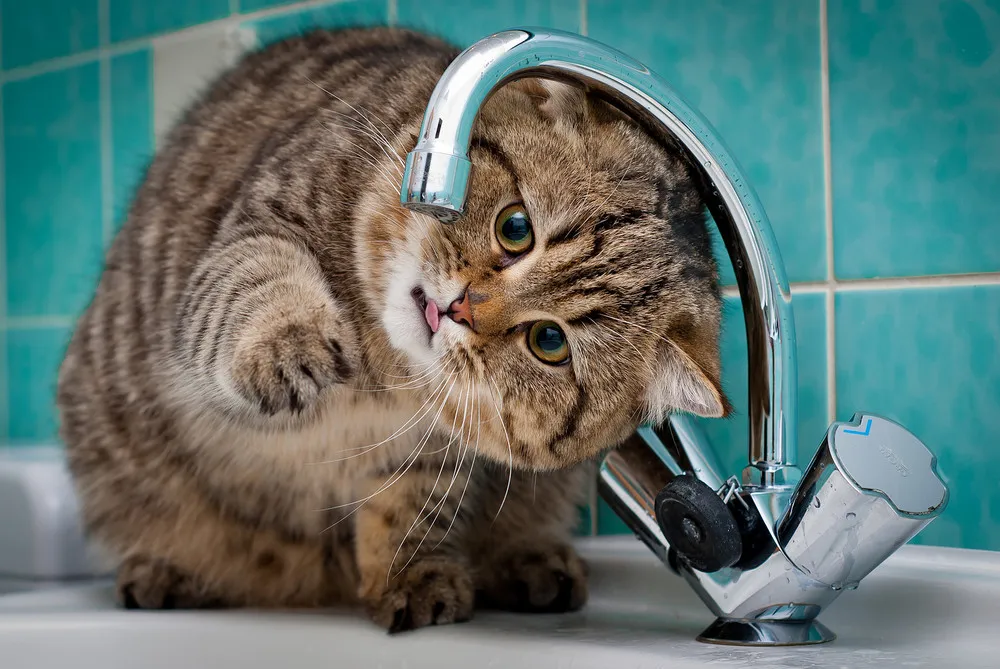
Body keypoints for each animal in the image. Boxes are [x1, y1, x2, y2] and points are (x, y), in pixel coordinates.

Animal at [56, 27, 728, 632]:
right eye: (516, 228)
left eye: (550, 343)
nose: (459, 309)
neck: (382, 369)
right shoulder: (263, 225)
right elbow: (258, 283)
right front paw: (291, 345)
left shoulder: (430, 459)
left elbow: (407, 519)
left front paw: (411, 581)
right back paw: (167, 571)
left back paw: (531, 565)